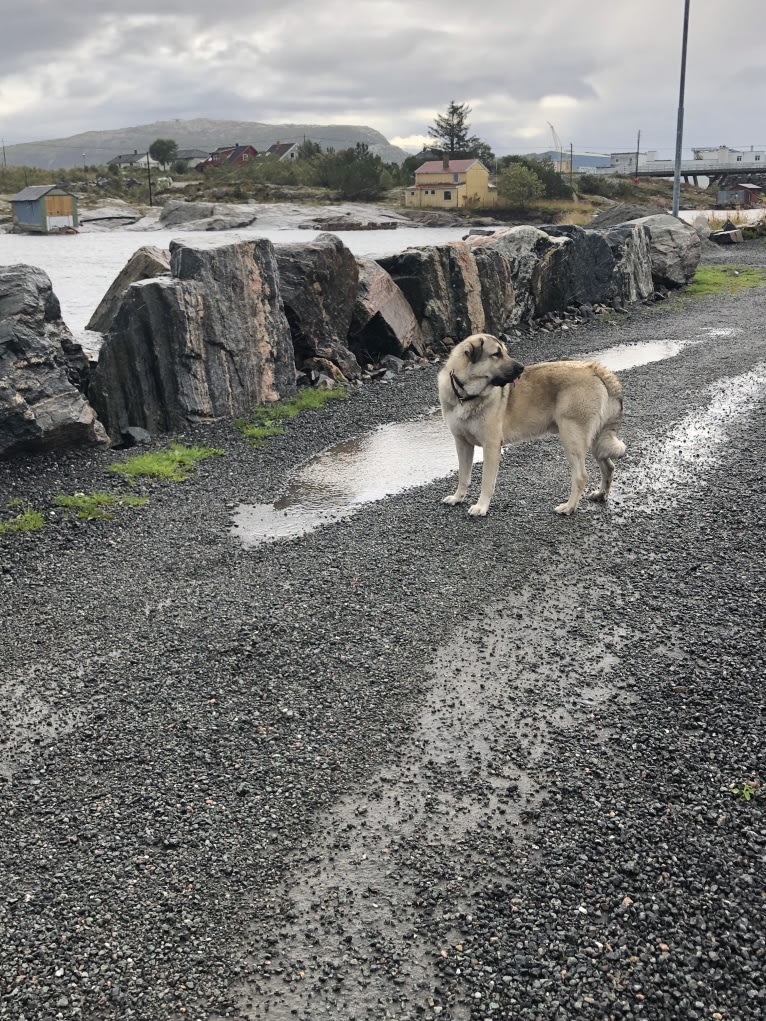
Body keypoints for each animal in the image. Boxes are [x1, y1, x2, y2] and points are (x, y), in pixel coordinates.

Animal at [441, 330, 625, 514]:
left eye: (505, 352)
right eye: (496, 354)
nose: (521, 368)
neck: (466, 395)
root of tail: (594, 368)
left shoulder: (491, 446)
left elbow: (487, 482)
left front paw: (481, 506)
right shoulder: (462, 443)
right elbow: (463, 476)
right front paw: (457, 497)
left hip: (572, 439)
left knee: (581, 476)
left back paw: (569, 506)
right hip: (595, 441)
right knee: (608, 467)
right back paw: (601, 494)